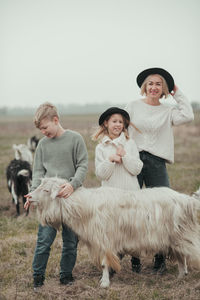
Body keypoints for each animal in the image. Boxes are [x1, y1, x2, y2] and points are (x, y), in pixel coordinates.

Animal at [28, 177, 200, 288]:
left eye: (46, 190)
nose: (28, 197)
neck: (84, 206)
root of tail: (185, 200)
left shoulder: (104, 240)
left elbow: (105, 263)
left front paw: (104, 283)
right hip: (175, 237)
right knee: (181, 256)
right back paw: (180, 276)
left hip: (181, 235)